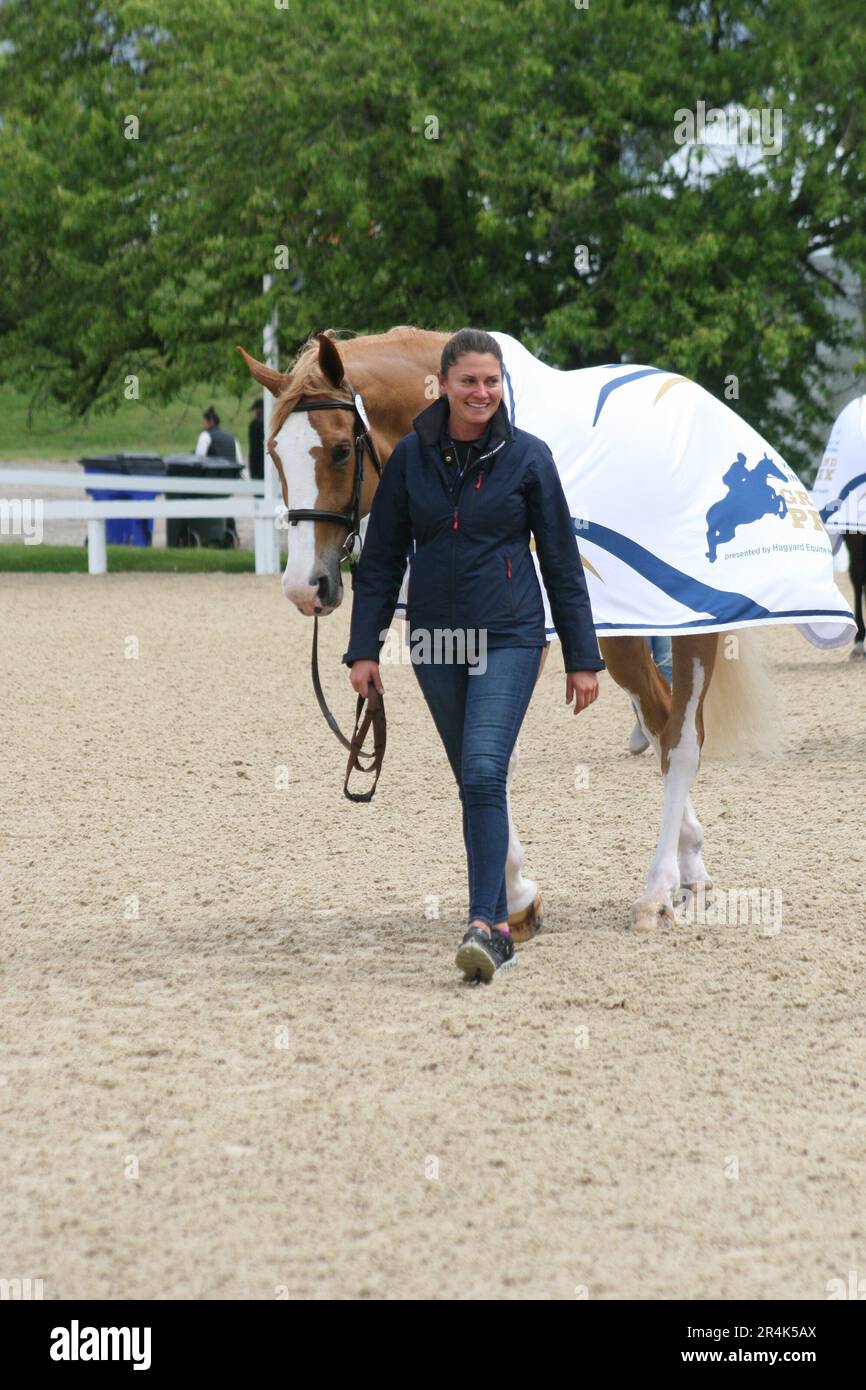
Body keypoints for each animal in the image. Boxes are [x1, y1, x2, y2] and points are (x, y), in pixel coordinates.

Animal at [239, 326, 767, 934]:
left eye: (341, 449)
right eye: (274, 455)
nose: (306, 587)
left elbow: (496, 753)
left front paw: (515, 894)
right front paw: (513, 896)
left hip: (690, 628)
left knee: (682, 742)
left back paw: (657, 890)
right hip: (618, 634)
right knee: (659, 721)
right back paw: (691, 868)